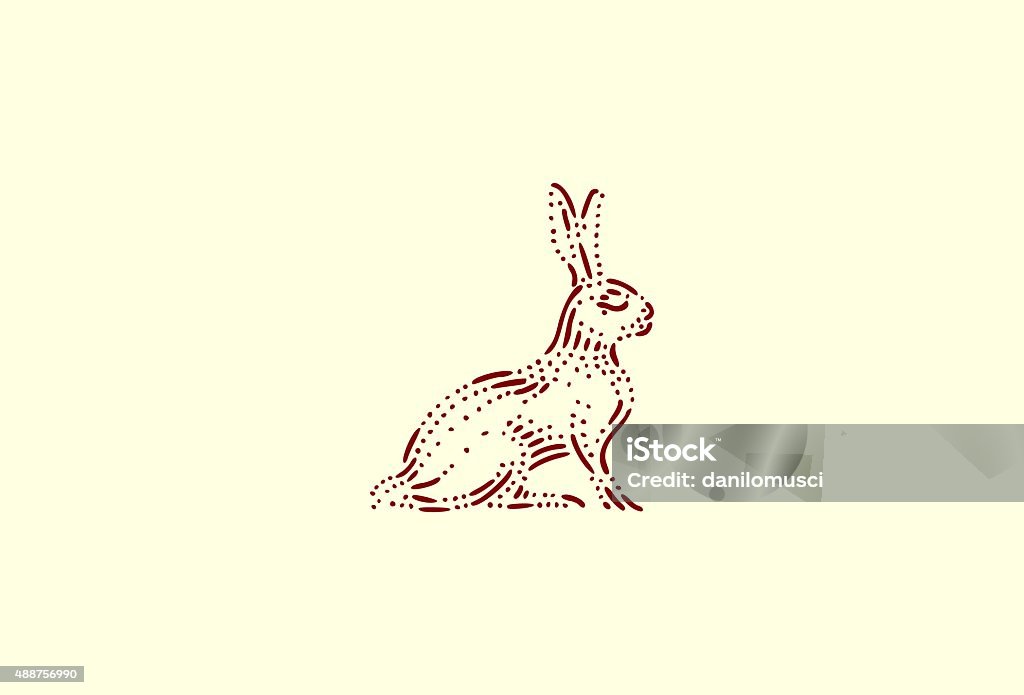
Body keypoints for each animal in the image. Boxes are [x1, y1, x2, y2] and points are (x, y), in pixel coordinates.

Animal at [370, 183, 654, 511]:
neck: (588, 354)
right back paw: (558, 499)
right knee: (474, 499)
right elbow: (597, 470)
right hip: (510, 453)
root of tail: (410, 476)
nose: (648, 313)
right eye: (611, 299)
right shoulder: (585, 432)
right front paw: (614, 504)